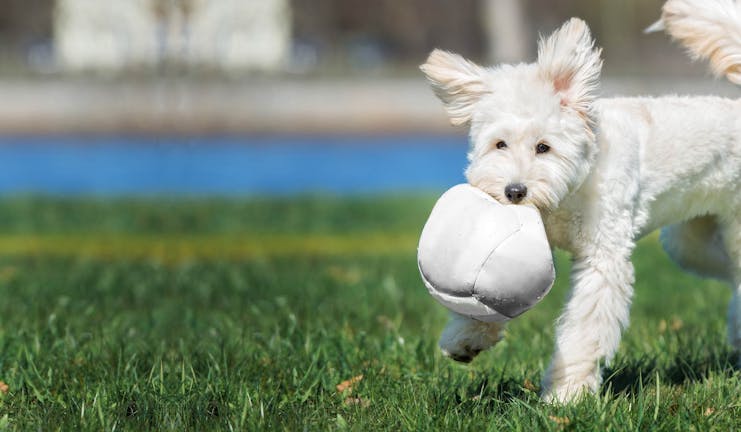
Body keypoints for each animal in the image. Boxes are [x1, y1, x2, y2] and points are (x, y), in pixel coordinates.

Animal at [422, 0, 740, 404]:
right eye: (499, 144)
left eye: (544, 147)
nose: (514, 192)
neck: (572, 187)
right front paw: (466, 337)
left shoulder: (602, 259)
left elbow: (583, 330)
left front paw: (566, 394)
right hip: (690, 241)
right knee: (730, 274)